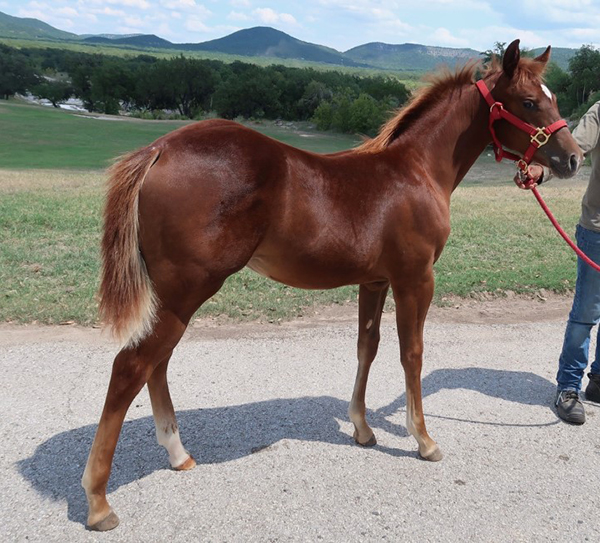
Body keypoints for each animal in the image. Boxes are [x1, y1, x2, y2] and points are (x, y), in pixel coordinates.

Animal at [79, 39, 580, 532]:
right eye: (529, 101)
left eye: (553, 97)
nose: (573, 157)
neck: (417, 170)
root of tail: (160, 148)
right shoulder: (416, 279)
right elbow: (412, 354)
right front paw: (423, 439)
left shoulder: (375, 281)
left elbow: (366, 347)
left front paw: (363, 429)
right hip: (186, 290)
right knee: (131, 367)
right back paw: (99, 501)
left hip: (175, 296)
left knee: (156, 365)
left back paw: (178, 454)